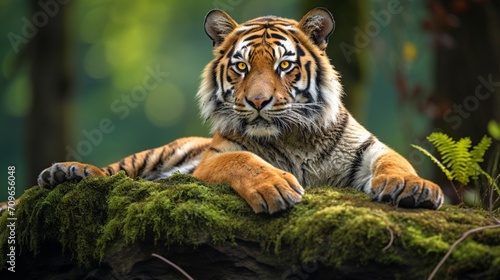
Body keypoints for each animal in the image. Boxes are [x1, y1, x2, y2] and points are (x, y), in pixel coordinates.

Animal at [35, 7, 444, 213]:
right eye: (242, 67)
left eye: (284, 65)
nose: (258, 101)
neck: (297, 139)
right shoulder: (213, 158)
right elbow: (244, 160)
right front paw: (276, 187)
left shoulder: (370, 148)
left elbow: (396, 161)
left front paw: (414, 187)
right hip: (154, 156)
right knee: (112, 171)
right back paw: (68, 171)